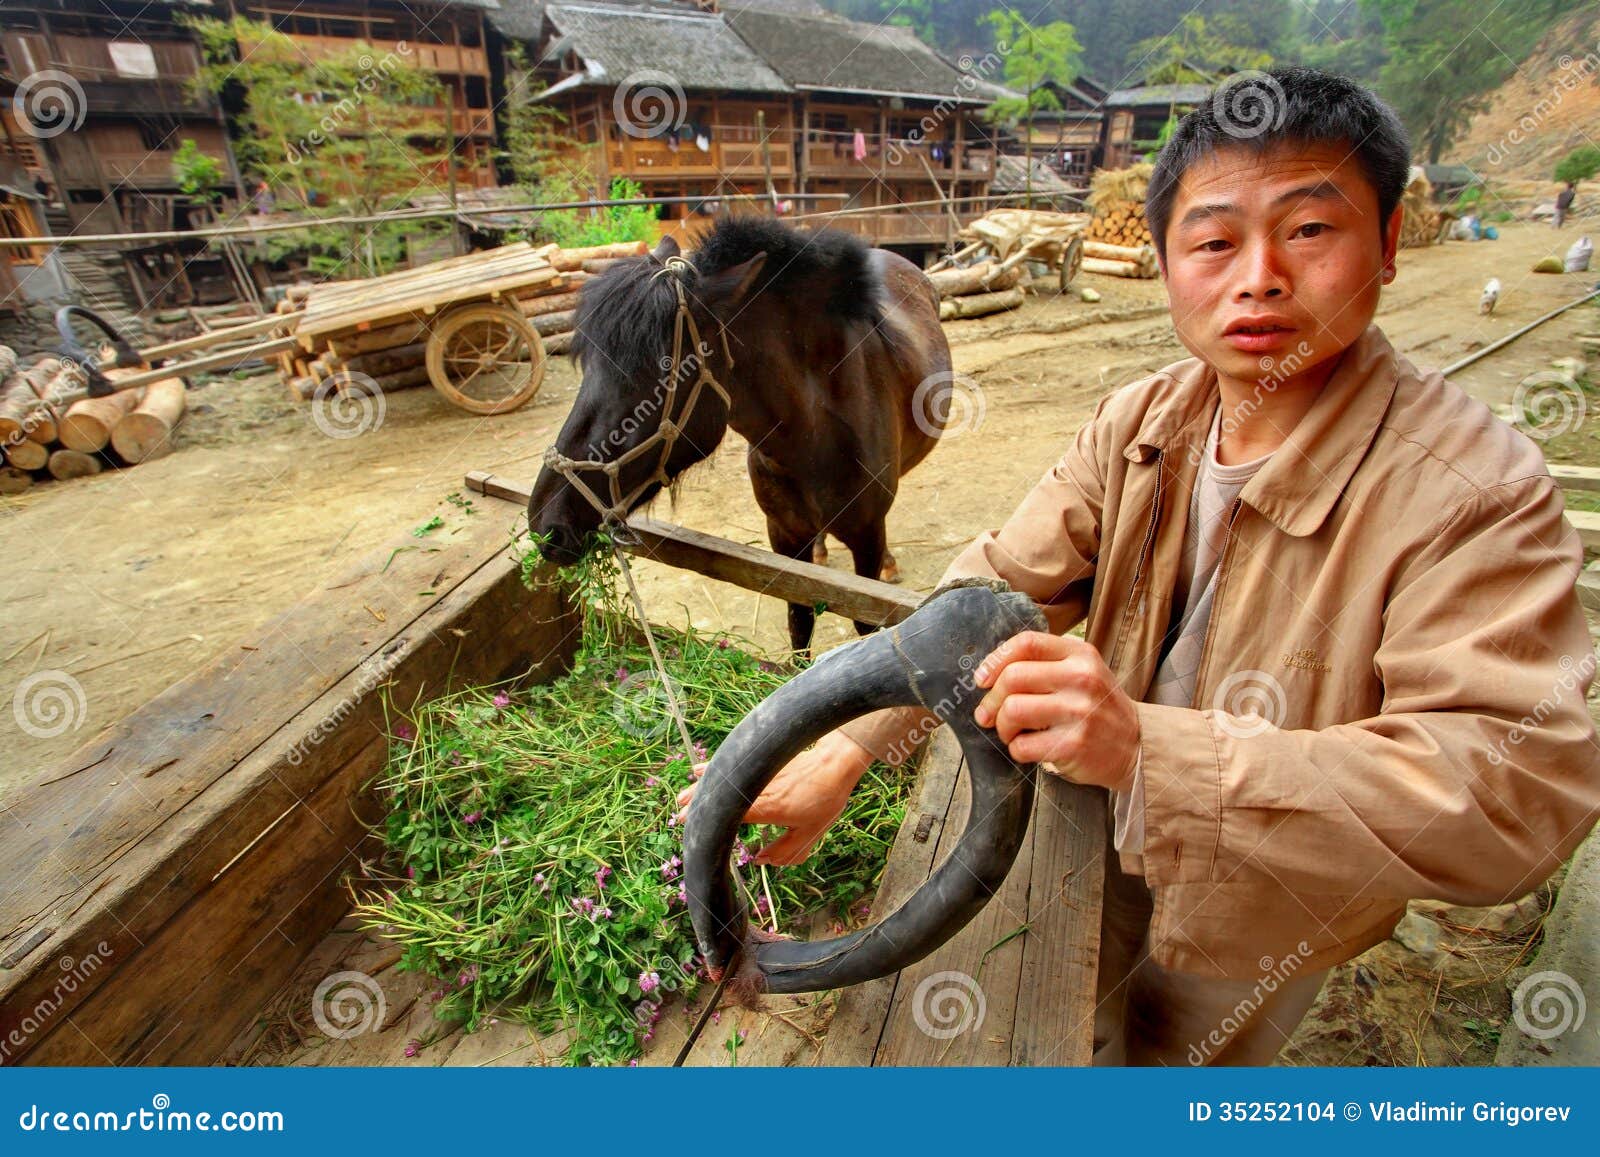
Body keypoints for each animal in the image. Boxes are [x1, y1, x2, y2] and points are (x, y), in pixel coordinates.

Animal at [528, 217, 947, 652]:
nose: (547, 524)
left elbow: (867, 623)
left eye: (657, 372)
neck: (815, 439)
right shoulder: (783, 535)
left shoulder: (866, 539)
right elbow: (800, 621)